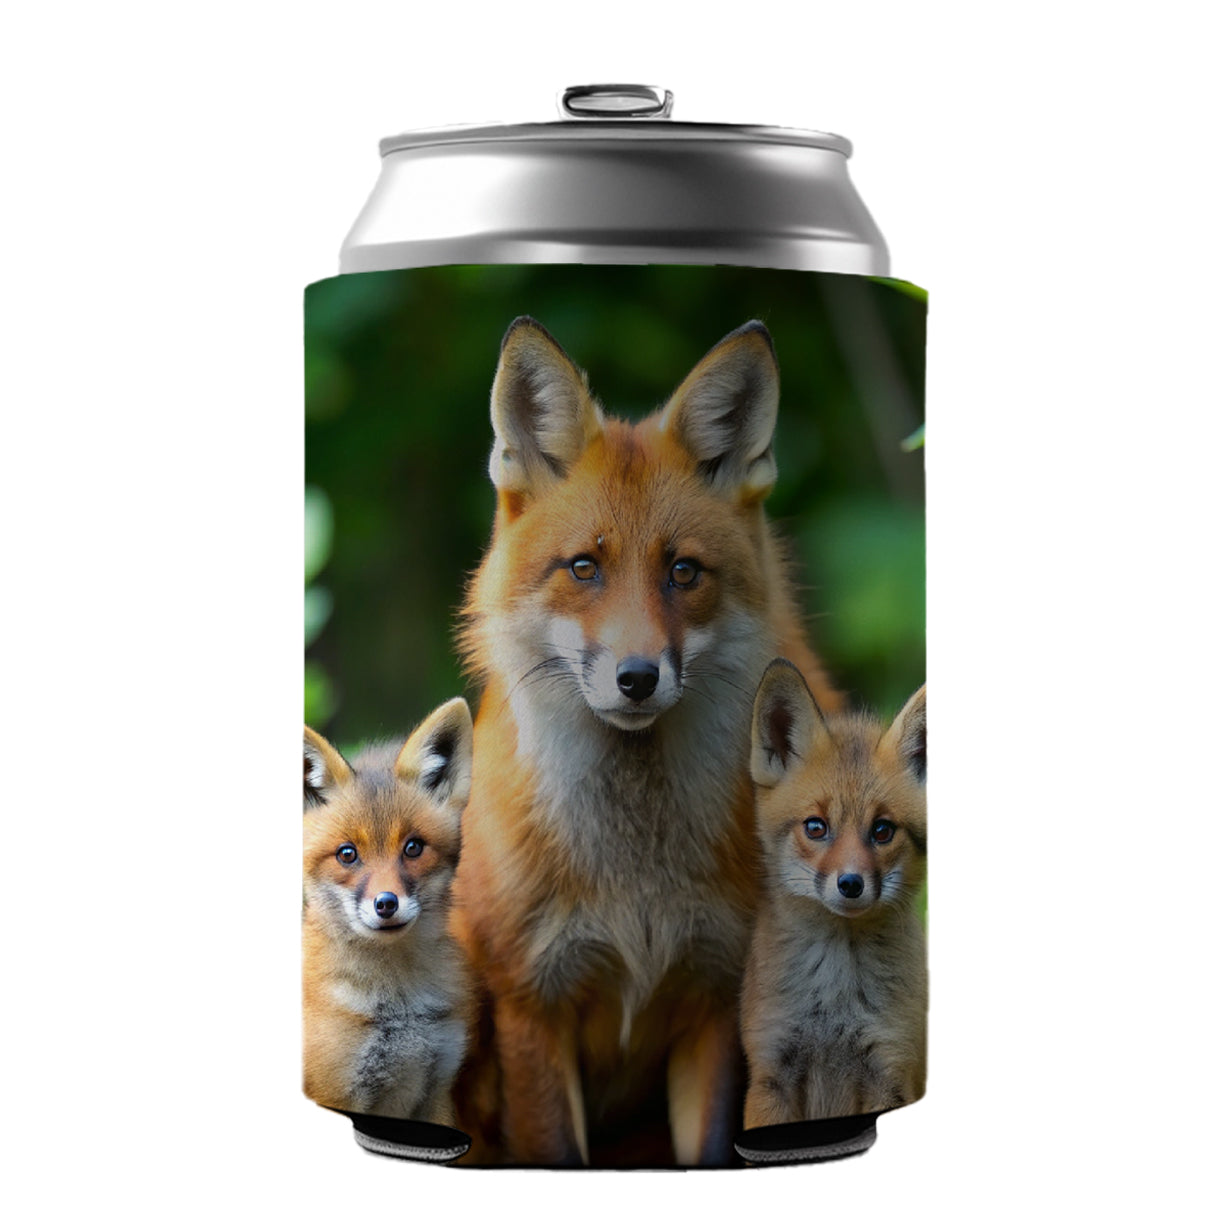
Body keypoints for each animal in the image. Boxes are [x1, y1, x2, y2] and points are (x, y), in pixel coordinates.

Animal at [302, 698, 473, 1127]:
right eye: (347, 854)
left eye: (413, 848)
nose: (386, 904)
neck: (400, 1005)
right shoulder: (339, 1091)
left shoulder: (437, 1088)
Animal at [452, 317, 841, 1166]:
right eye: (584, 568)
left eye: (684, 572)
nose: (636, 678)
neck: (635, 886)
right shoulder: (532, 1005)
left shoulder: (715, 1002)